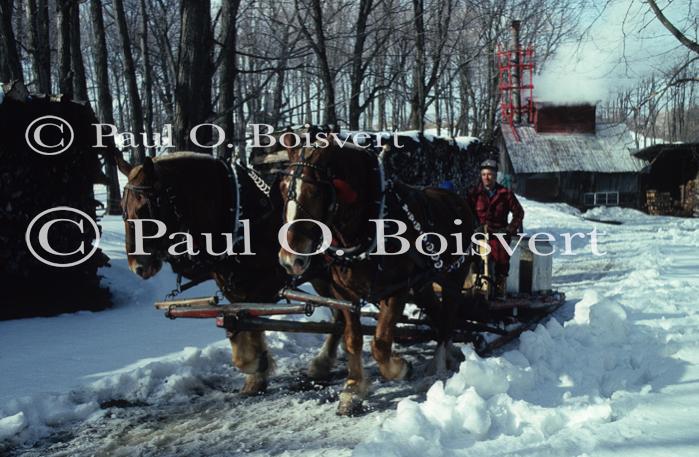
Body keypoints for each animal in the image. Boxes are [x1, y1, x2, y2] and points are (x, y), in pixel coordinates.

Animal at [278, 135, 476, 414]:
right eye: (282, 188)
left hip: (453, 278)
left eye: (314, 191)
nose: (289, 261)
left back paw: (437, 367)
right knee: (437, 315)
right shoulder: (344, 294)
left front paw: (400, 368)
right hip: (424, 285)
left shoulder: (397, 290)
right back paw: (450, 353)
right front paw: (352, 389)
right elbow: (353, 340)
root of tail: (456, 199)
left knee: (447, 319)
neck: (372, 222)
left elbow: (380, 344)